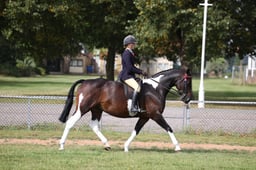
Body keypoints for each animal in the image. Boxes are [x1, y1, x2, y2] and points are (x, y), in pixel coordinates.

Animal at [59, 67, 193, 151]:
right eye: (188, 81)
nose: (188, 99)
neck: (156, 88)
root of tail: (85, 81)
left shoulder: (145, 117)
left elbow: (136, 130)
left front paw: (126, 146)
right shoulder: (155, 114)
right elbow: (169, 128)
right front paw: (177, 147)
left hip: (96, 110)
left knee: (94, 126)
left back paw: (107, 145)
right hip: (83, 108)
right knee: (70, 122)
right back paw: (61, 145)